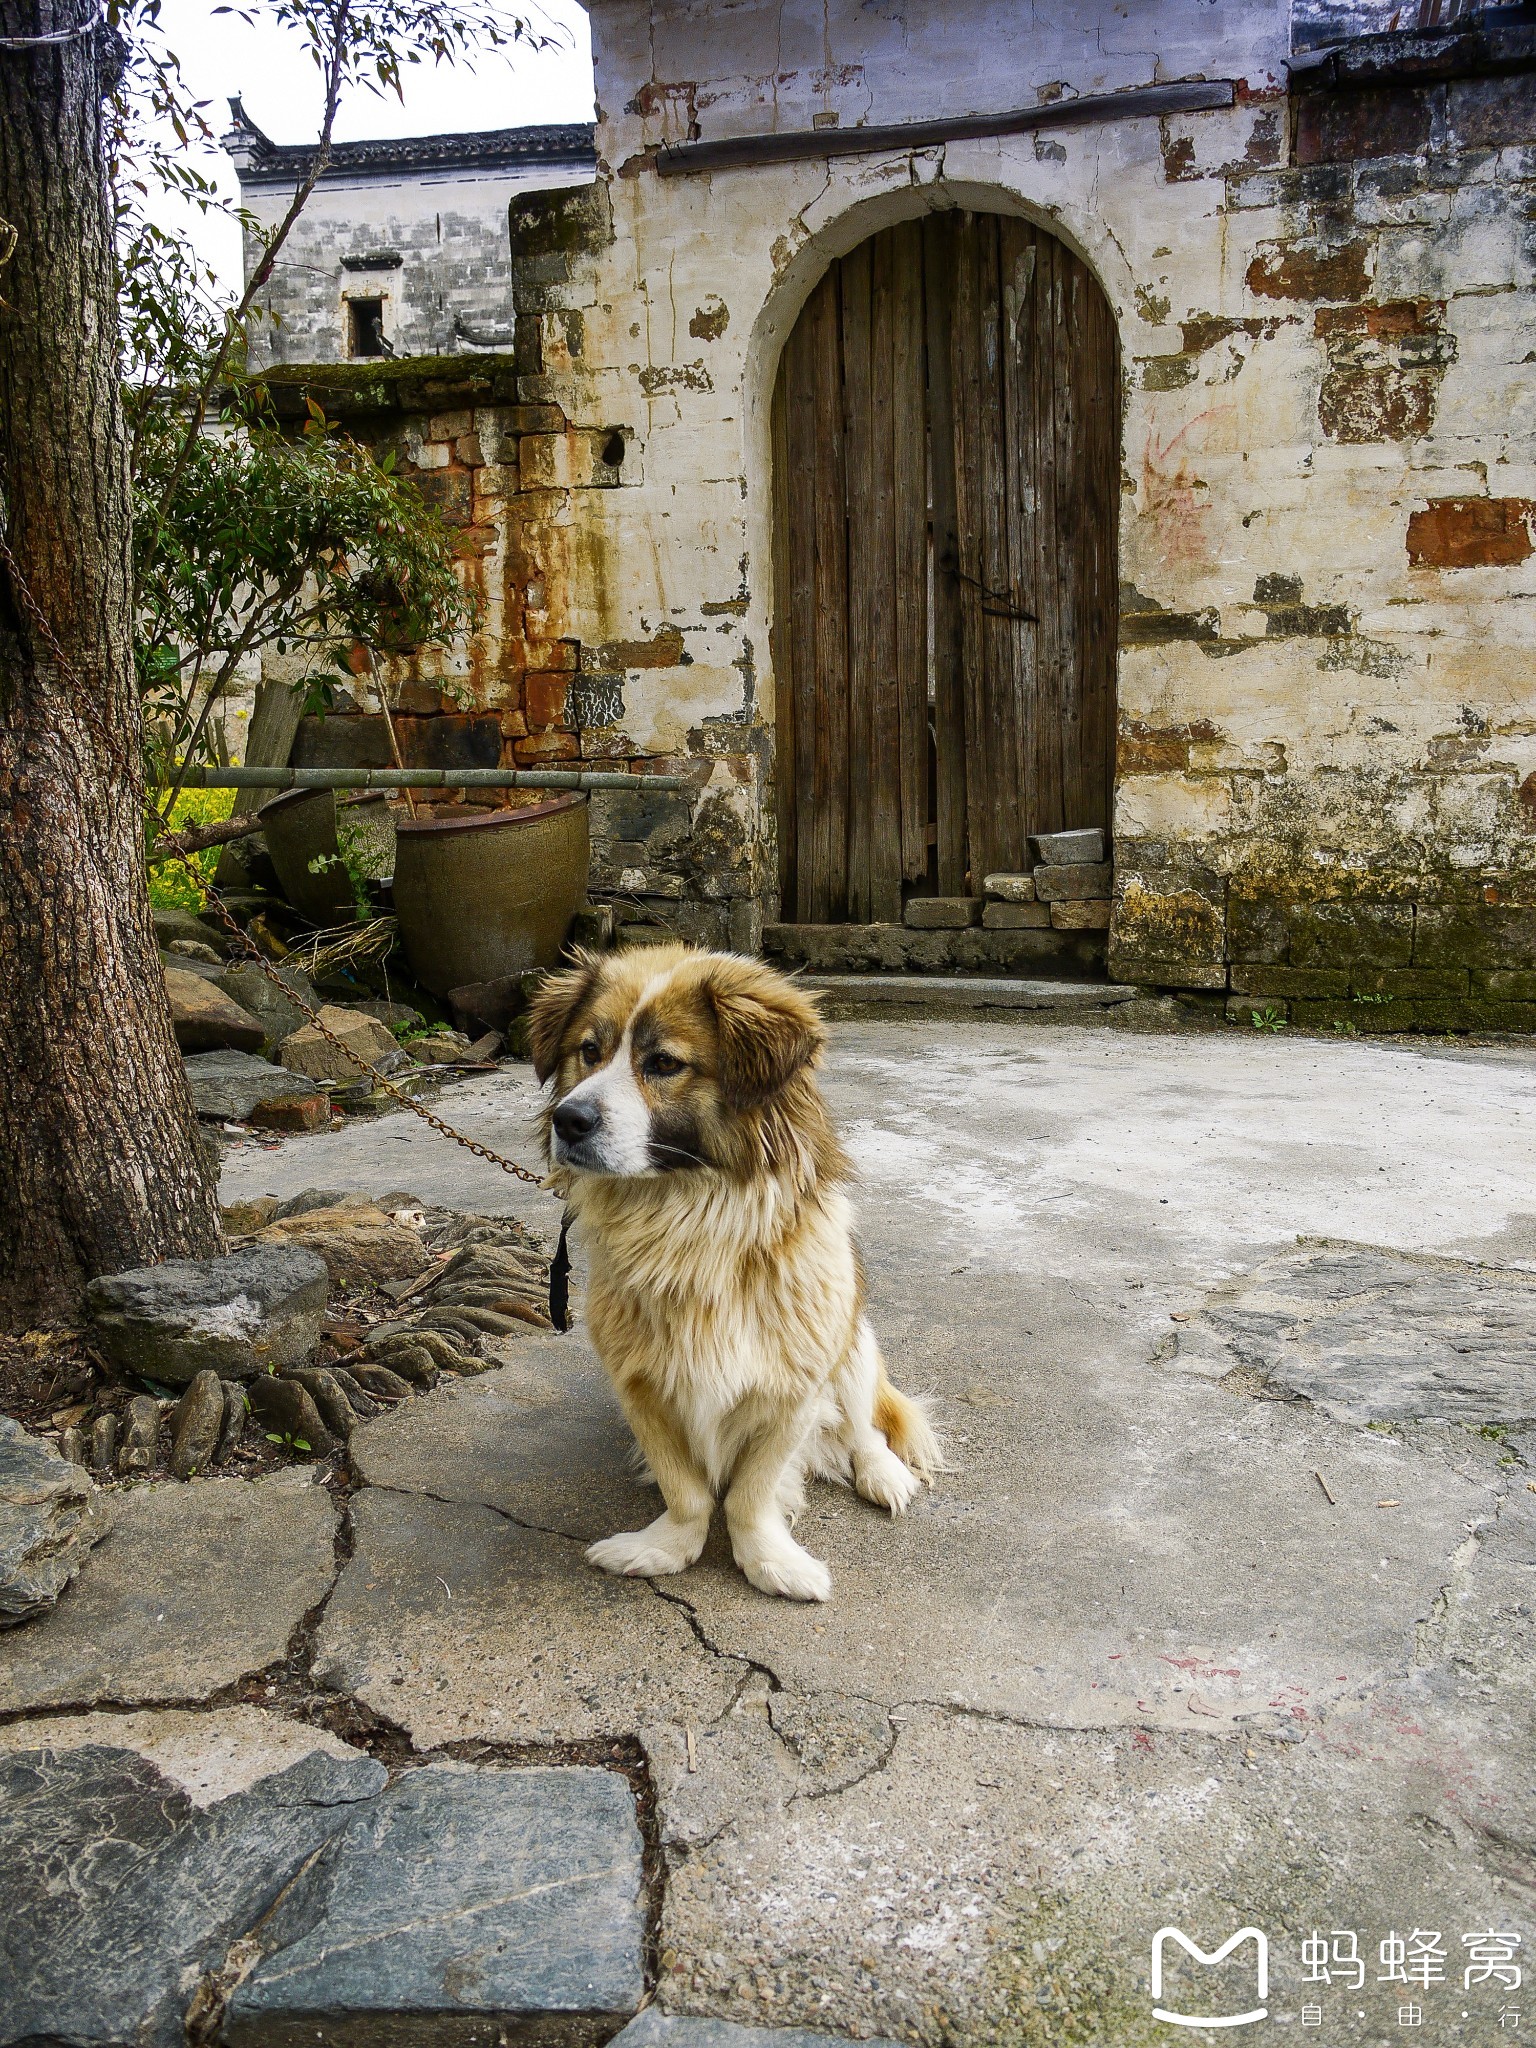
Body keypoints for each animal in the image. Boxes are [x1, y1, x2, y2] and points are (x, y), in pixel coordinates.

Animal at [528, 942, 937, 1597]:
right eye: (588, 1051)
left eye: (663, 1063)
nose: (567, 1120)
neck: (690, 1224)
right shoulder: (640, 1386)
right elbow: (687, 1490)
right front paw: (666, 1548)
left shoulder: (796, 1388)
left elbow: (751, 1492)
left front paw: (770, 1561)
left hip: (853, 1346)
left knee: (865, 1427)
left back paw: (883, 1475)